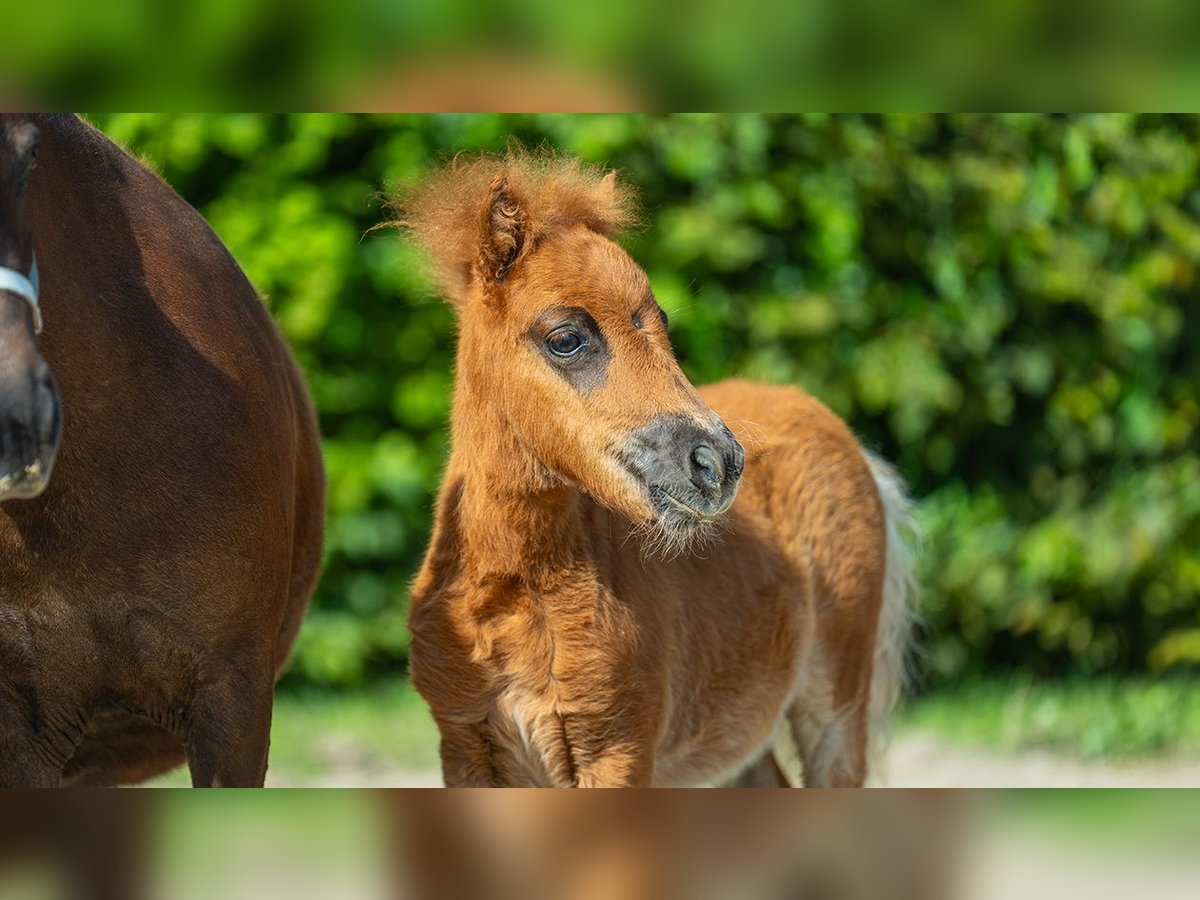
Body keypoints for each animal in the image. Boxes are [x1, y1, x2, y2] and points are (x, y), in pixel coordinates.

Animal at [398, 151, 912, 787]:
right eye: (566, 338)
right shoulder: (466, 752)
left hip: (836, 706)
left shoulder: (618, 751)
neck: (517, 594)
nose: (719, 462)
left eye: (662, 323)